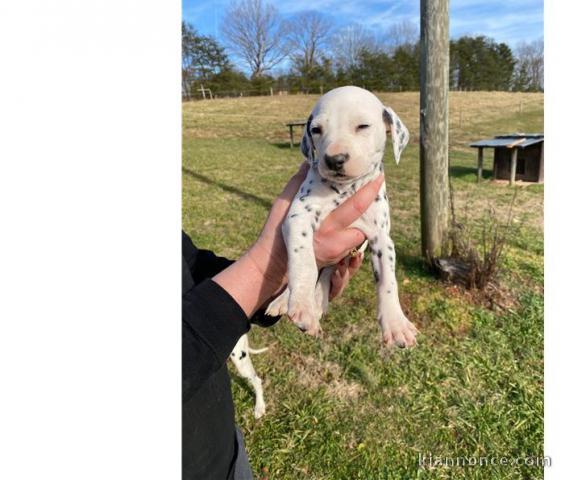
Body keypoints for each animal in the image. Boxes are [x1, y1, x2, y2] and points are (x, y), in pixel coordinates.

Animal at [264, 86, 414, 346]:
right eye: (316, 130)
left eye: (363, 126)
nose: (335, 160)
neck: (347, 190)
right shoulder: (298, 217)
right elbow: (304, 262)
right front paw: (302, 305)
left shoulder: (381, 237)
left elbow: (388, 280)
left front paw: (396, 324)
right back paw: (289, 301)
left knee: (327, 273)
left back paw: (318, 301)